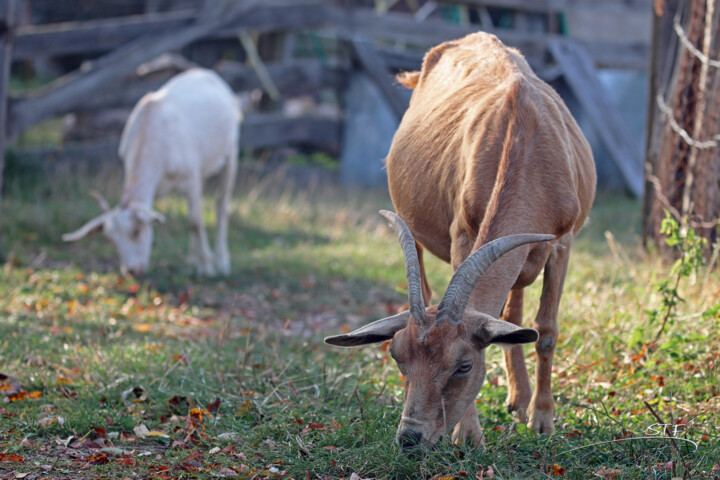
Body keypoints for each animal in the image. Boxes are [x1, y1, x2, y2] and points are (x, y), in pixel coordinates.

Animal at [63, 69, 240, 276]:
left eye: (136, 231)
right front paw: (199, 260)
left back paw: (222, 261)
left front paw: (206, 267)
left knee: (221, 205)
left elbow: (195, 220)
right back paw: (193, 256)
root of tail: (204, 72)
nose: (131, 271)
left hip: (231, 150)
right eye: (110, 239)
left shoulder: (190, 176)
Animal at [326, 33, 596, 450]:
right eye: (398, 357)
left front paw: (543, 421)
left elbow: (545, 331)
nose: (411, 438)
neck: (524, 138)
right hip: (414, 222)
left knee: (514, 314)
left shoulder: (561, 243)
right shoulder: (464, 234)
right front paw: (468, 435)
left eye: (464, 365)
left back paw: (520, 401)